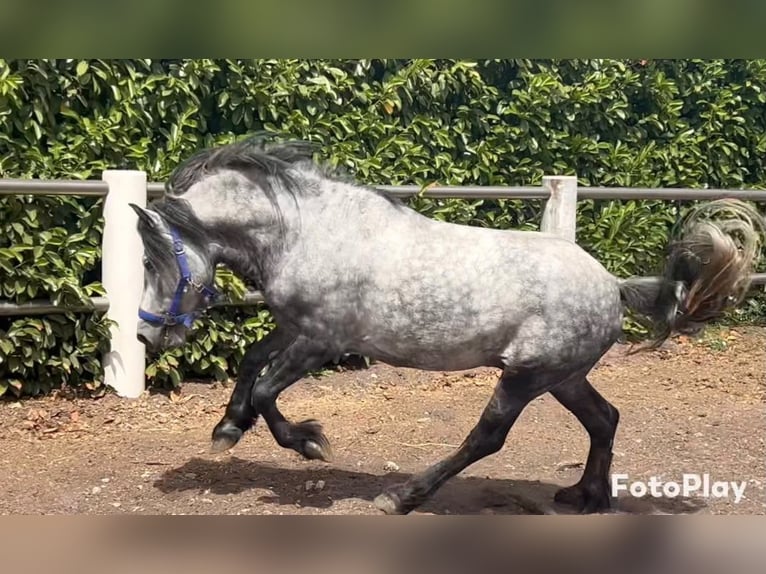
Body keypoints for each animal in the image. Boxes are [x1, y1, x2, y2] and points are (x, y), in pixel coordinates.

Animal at [130, 136, 764, 515]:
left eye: (149, 260)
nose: (145, 334)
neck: (308, 231)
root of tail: (611, 285)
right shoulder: (295, 329)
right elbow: (250, 363)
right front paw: (226, 430)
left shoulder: (322, 342)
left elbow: (266, 390)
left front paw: (309, 443)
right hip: (563, 378)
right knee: (605, 419)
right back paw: (587, 496)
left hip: (526, 378)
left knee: (487, 437)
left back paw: (402, 496)